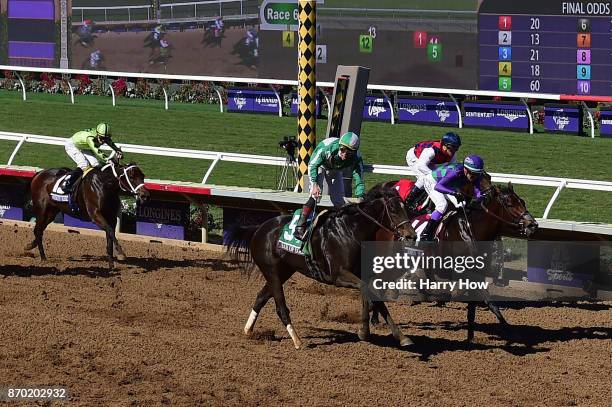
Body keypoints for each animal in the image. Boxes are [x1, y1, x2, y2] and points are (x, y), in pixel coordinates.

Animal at [225, 193, 416, 350]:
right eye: (393, 210)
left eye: (407, 208)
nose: (411, 235)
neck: (350, 232)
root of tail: (258, 229)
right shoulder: (339, 275)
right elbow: (367, 291)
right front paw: (364, 331)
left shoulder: (359, 274)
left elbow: (374, 297)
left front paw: (401, 337)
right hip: (271, 270)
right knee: (280, 308)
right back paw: (297, 341)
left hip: (284, 271)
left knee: (261, 297)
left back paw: (248, 330)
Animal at [364, 180, 536, 342]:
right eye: (510, 204)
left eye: (523, 202)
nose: (532, 224)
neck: (470, 231)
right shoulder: (463, 274)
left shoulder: (477, 275)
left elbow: (483, 305)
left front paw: (472, 336)